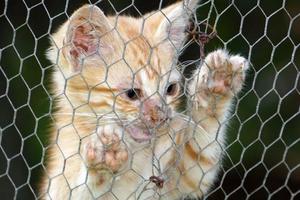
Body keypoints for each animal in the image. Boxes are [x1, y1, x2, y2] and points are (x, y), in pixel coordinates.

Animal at [40, 0, 248, 199]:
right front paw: (104, 156)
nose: (162, 117)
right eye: (132, 93)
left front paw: (215, 84)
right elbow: (80, 190)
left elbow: (201, 151)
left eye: (170, 89)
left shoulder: (184, 180)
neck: (136, 153)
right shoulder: (58, 186)